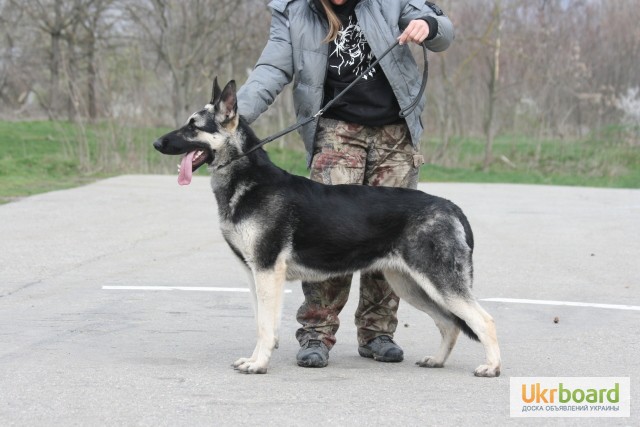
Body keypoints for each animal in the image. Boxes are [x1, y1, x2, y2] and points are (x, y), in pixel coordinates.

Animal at [154, 78, 500, 376]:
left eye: (193, 127)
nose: (157, 143)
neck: (247, 180)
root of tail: (451, 206)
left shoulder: (267, 273)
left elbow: (266, 327)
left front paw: (259, 364)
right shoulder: (254, 276)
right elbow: (261, 324)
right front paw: (255, 360)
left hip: (439, 284)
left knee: (484, 321)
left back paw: (491, 368)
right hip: (411, 285)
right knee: (450, 324)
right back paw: (437, 361)